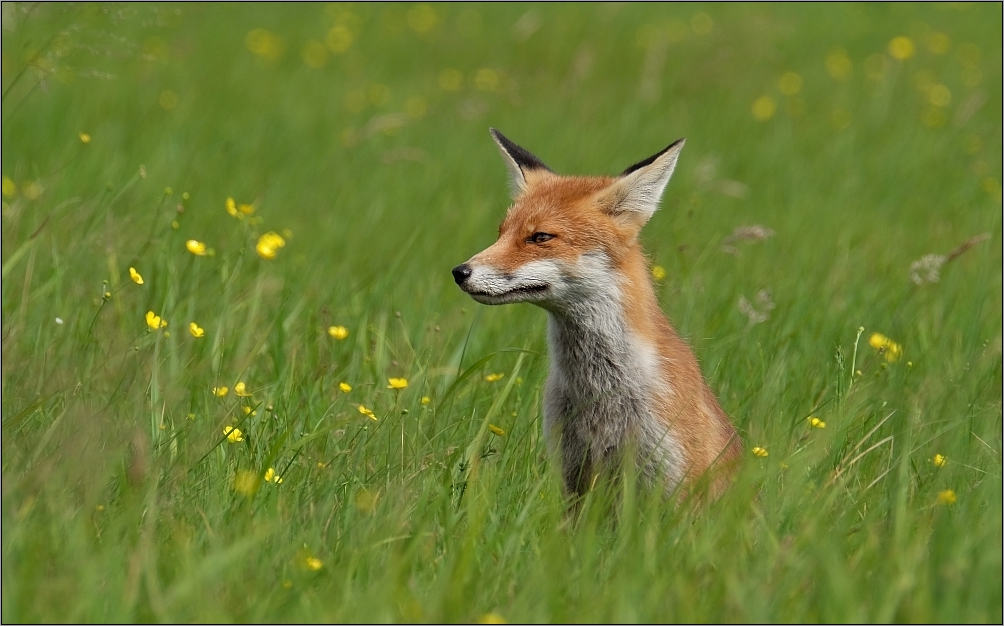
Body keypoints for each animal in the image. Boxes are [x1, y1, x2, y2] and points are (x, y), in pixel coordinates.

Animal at [451, 128, 742, 499]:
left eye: (540, 237)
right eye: (501, 233)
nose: (460, 272)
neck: (600, 395)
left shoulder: (673, 482)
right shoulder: (574, 474)